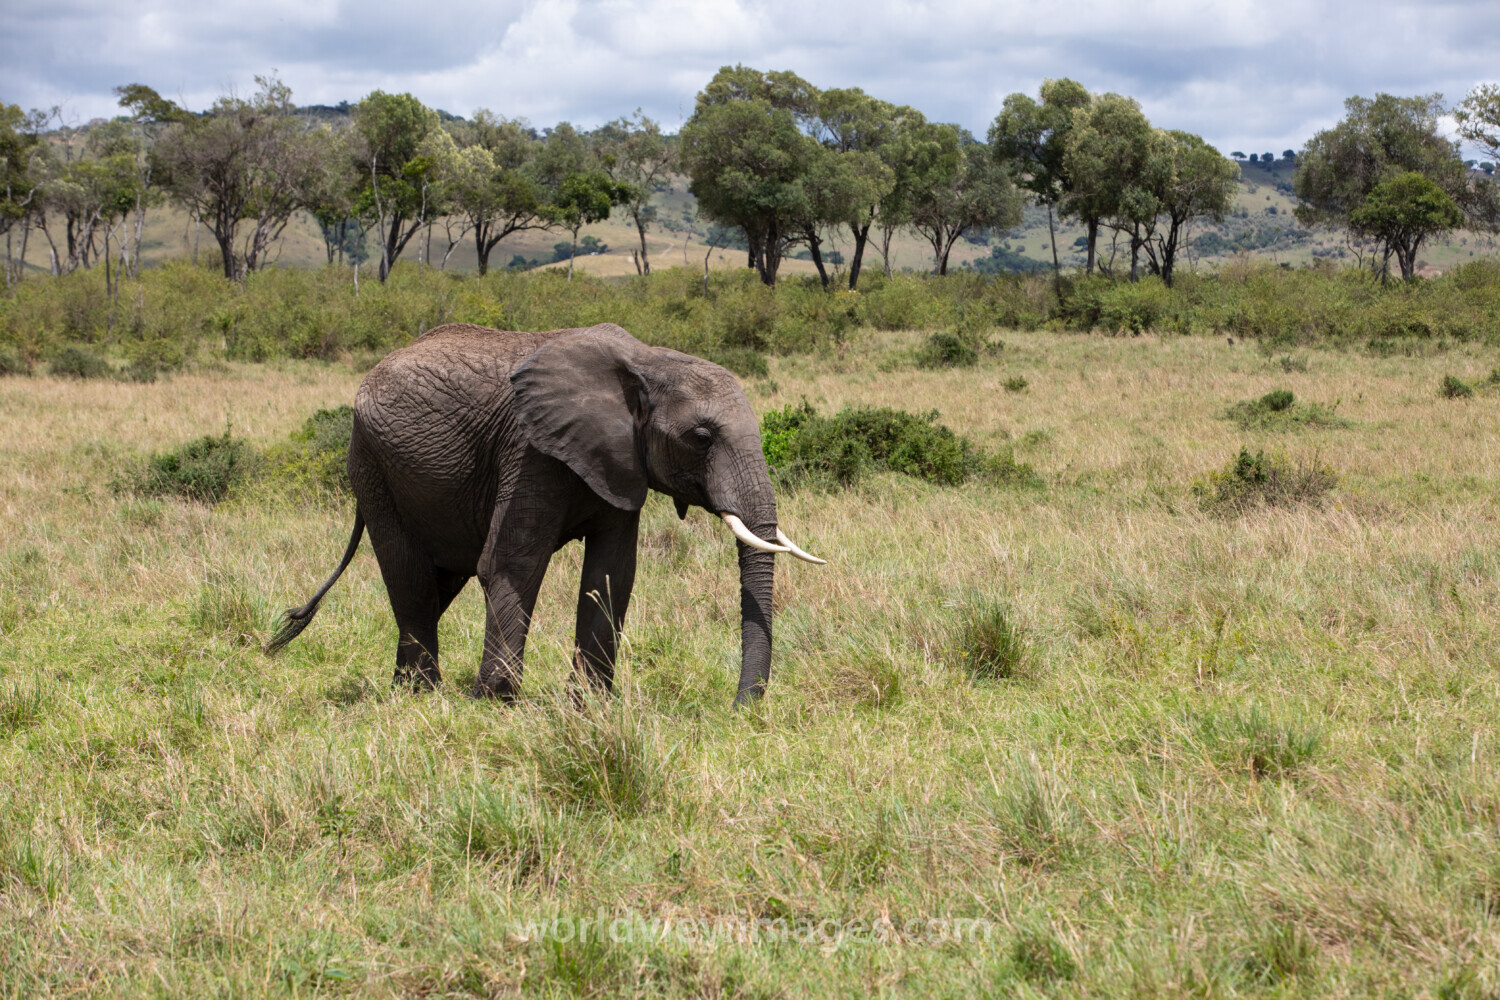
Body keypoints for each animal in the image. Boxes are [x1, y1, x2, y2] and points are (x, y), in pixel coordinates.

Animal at [265, 322, 824, 706]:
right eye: (702, 437)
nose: (738, 708)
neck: (646, 360)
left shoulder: (619, 462)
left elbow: (611, 574)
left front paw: (589, 707)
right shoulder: (530, 451)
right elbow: (513, 562)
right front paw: (496, 701)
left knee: (437, 584)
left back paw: (404, 687)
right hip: (372, 465)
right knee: (410, 578)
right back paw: (422, 695)